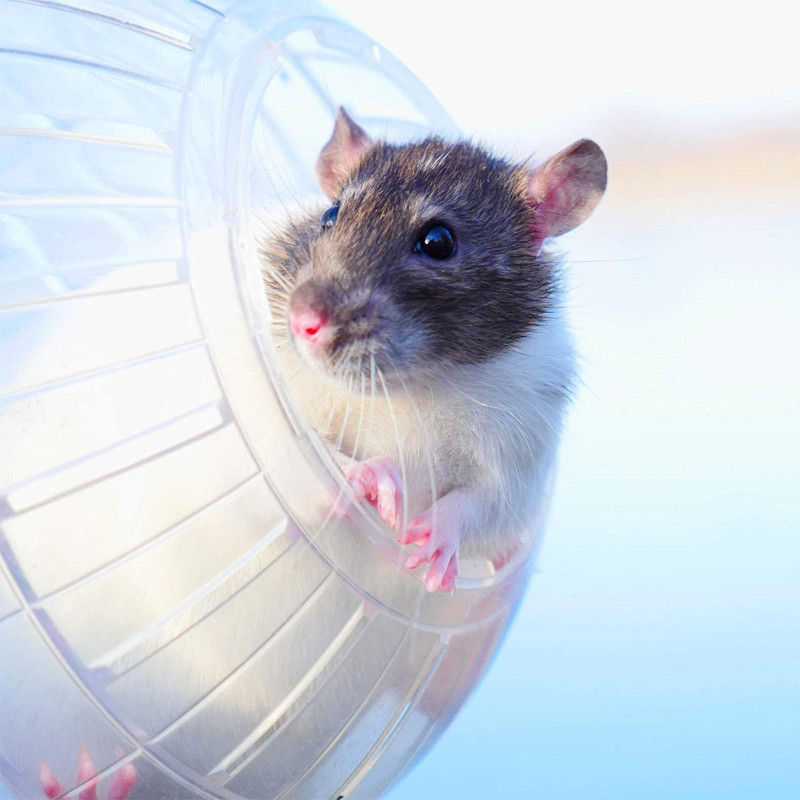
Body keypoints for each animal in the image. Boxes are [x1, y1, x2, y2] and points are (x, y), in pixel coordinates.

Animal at [260, 108, 607, 593]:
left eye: (438, 241)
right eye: (330, 213)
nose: (302, 322)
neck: (412, 385)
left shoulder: (523, 448)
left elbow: (488, 504)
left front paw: (439, 534)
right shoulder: (280, 385)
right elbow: (296, 442)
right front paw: (365, 474)